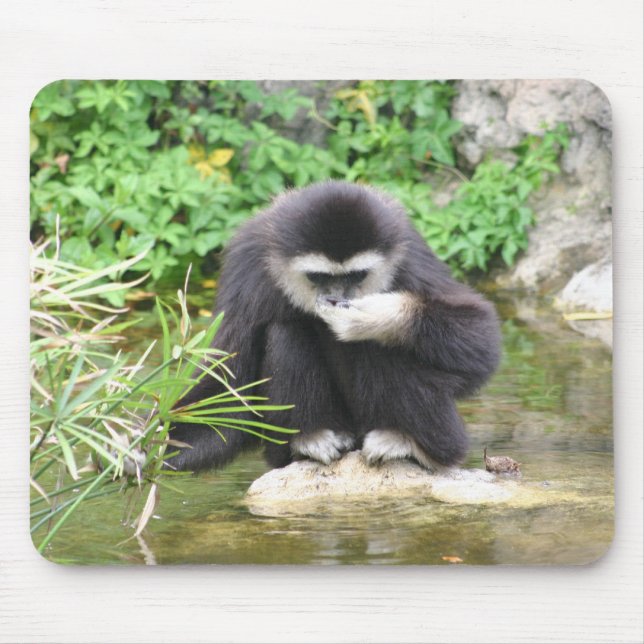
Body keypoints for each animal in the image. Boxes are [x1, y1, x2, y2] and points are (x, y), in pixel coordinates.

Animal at [167, 180, 501, 472]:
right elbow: (229, 386)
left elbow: (482, 341)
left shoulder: (409, 252)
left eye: (356, 275)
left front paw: (373, 317)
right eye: (318, 276)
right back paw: (309, 439)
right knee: (286, 331)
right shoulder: (247, 264)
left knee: (380, 344)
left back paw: (416, 444)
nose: (337, 296)